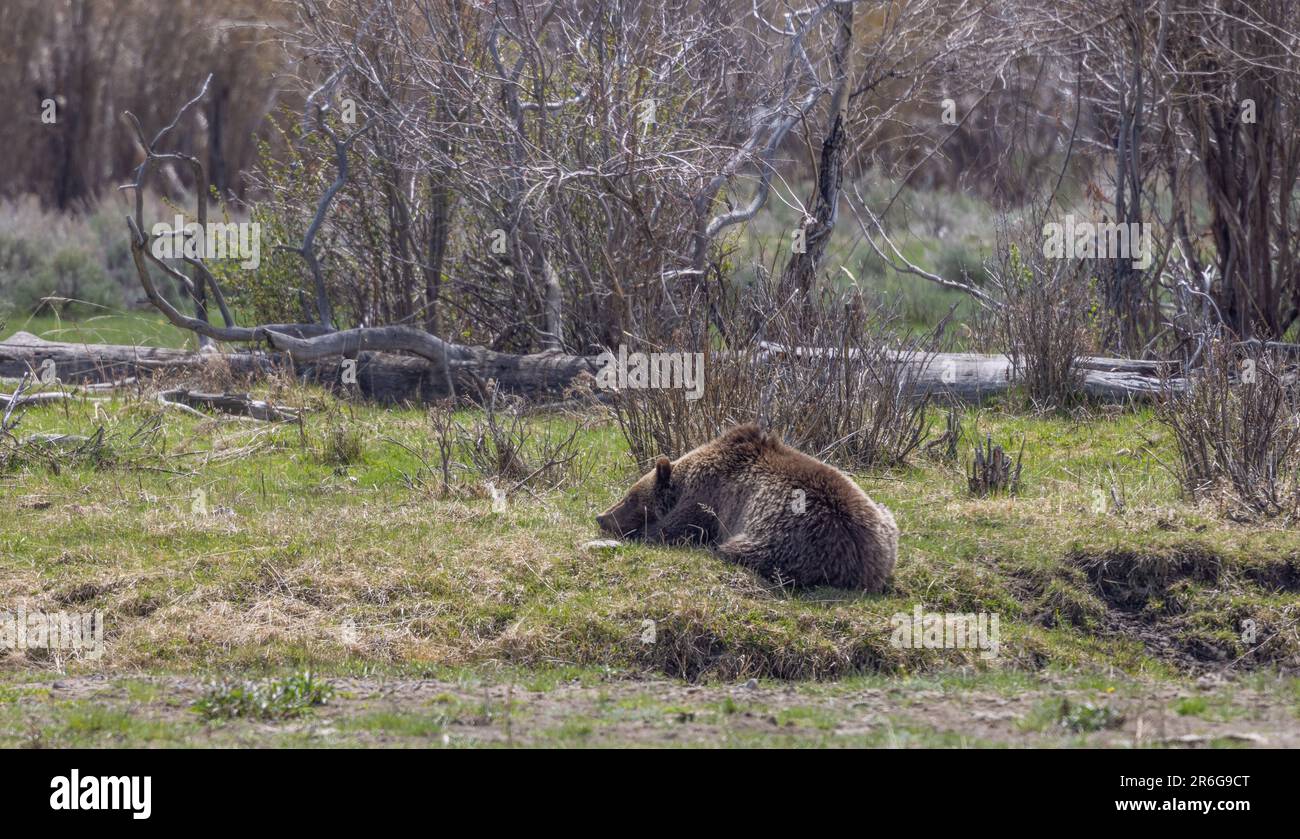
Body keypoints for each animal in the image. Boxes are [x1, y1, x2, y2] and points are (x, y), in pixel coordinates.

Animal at [596, 424, 898, 591]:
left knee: (739, 550)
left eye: (630, 498)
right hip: (886, 520)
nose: (601, 517)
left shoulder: (706, 500)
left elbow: (673, 530)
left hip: (786, 539)